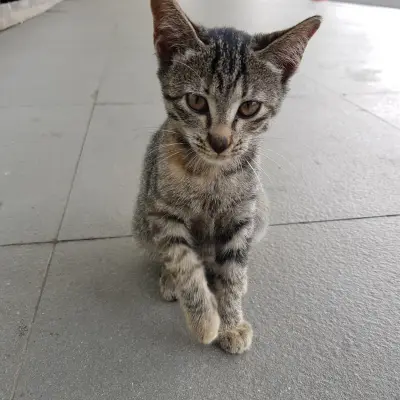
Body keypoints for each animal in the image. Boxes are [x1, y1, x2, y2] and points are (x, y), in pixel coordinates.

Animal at [134, 0, 322, 354]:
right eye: (196, 101)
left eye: (249, 107)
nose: (220, 141)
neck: (211, 174)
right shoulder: (162, 211)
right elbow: (183, 262)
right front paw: (206, 321)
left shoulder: (241, 216)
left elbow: (232, 272)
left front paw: (231, 321)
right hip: (142, 219)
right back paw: (170, 280)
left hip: (260, 211)